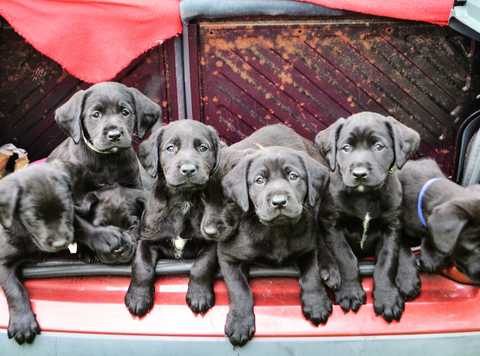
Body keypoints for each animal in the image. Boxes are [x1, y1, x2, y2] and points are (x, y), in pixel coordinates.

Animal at [0, 160, 82, 344]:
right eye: (34, 219)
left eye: (66, 209)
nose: (61, 243)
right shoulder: (2, 262)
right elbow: (15, 289)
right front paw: (22, 322)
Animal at [124, 120, 224, 318]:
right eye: (170, 148)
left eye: (203, 148)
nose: (188, 170)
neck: (183, 201)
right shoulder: (146, 240)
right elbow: (141, 265)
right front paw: (138, 298)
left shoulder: (212, 242)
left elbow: (202, 264)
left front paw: (199, 295)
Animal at [219, 146, 332, 346]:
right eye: (259, 180)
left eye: (293, 176)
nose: (279, 202)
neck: (278, 231)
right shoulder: (228, 256)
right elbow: (239, 288)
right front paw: (240, 323)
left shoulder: (309, 249)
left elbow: (311, 274)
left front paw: (316, 303)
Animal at [316, 111, 420, 322]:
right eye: (346, 148)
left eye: (379, 147)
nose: (359, 174)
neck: (364, 196)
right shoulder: (331, 223)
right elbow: (345, 257)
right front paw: (350, 293)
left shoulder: (392, 227)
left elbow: (387, 261)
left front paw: (387, 298)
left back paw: (408, 276)